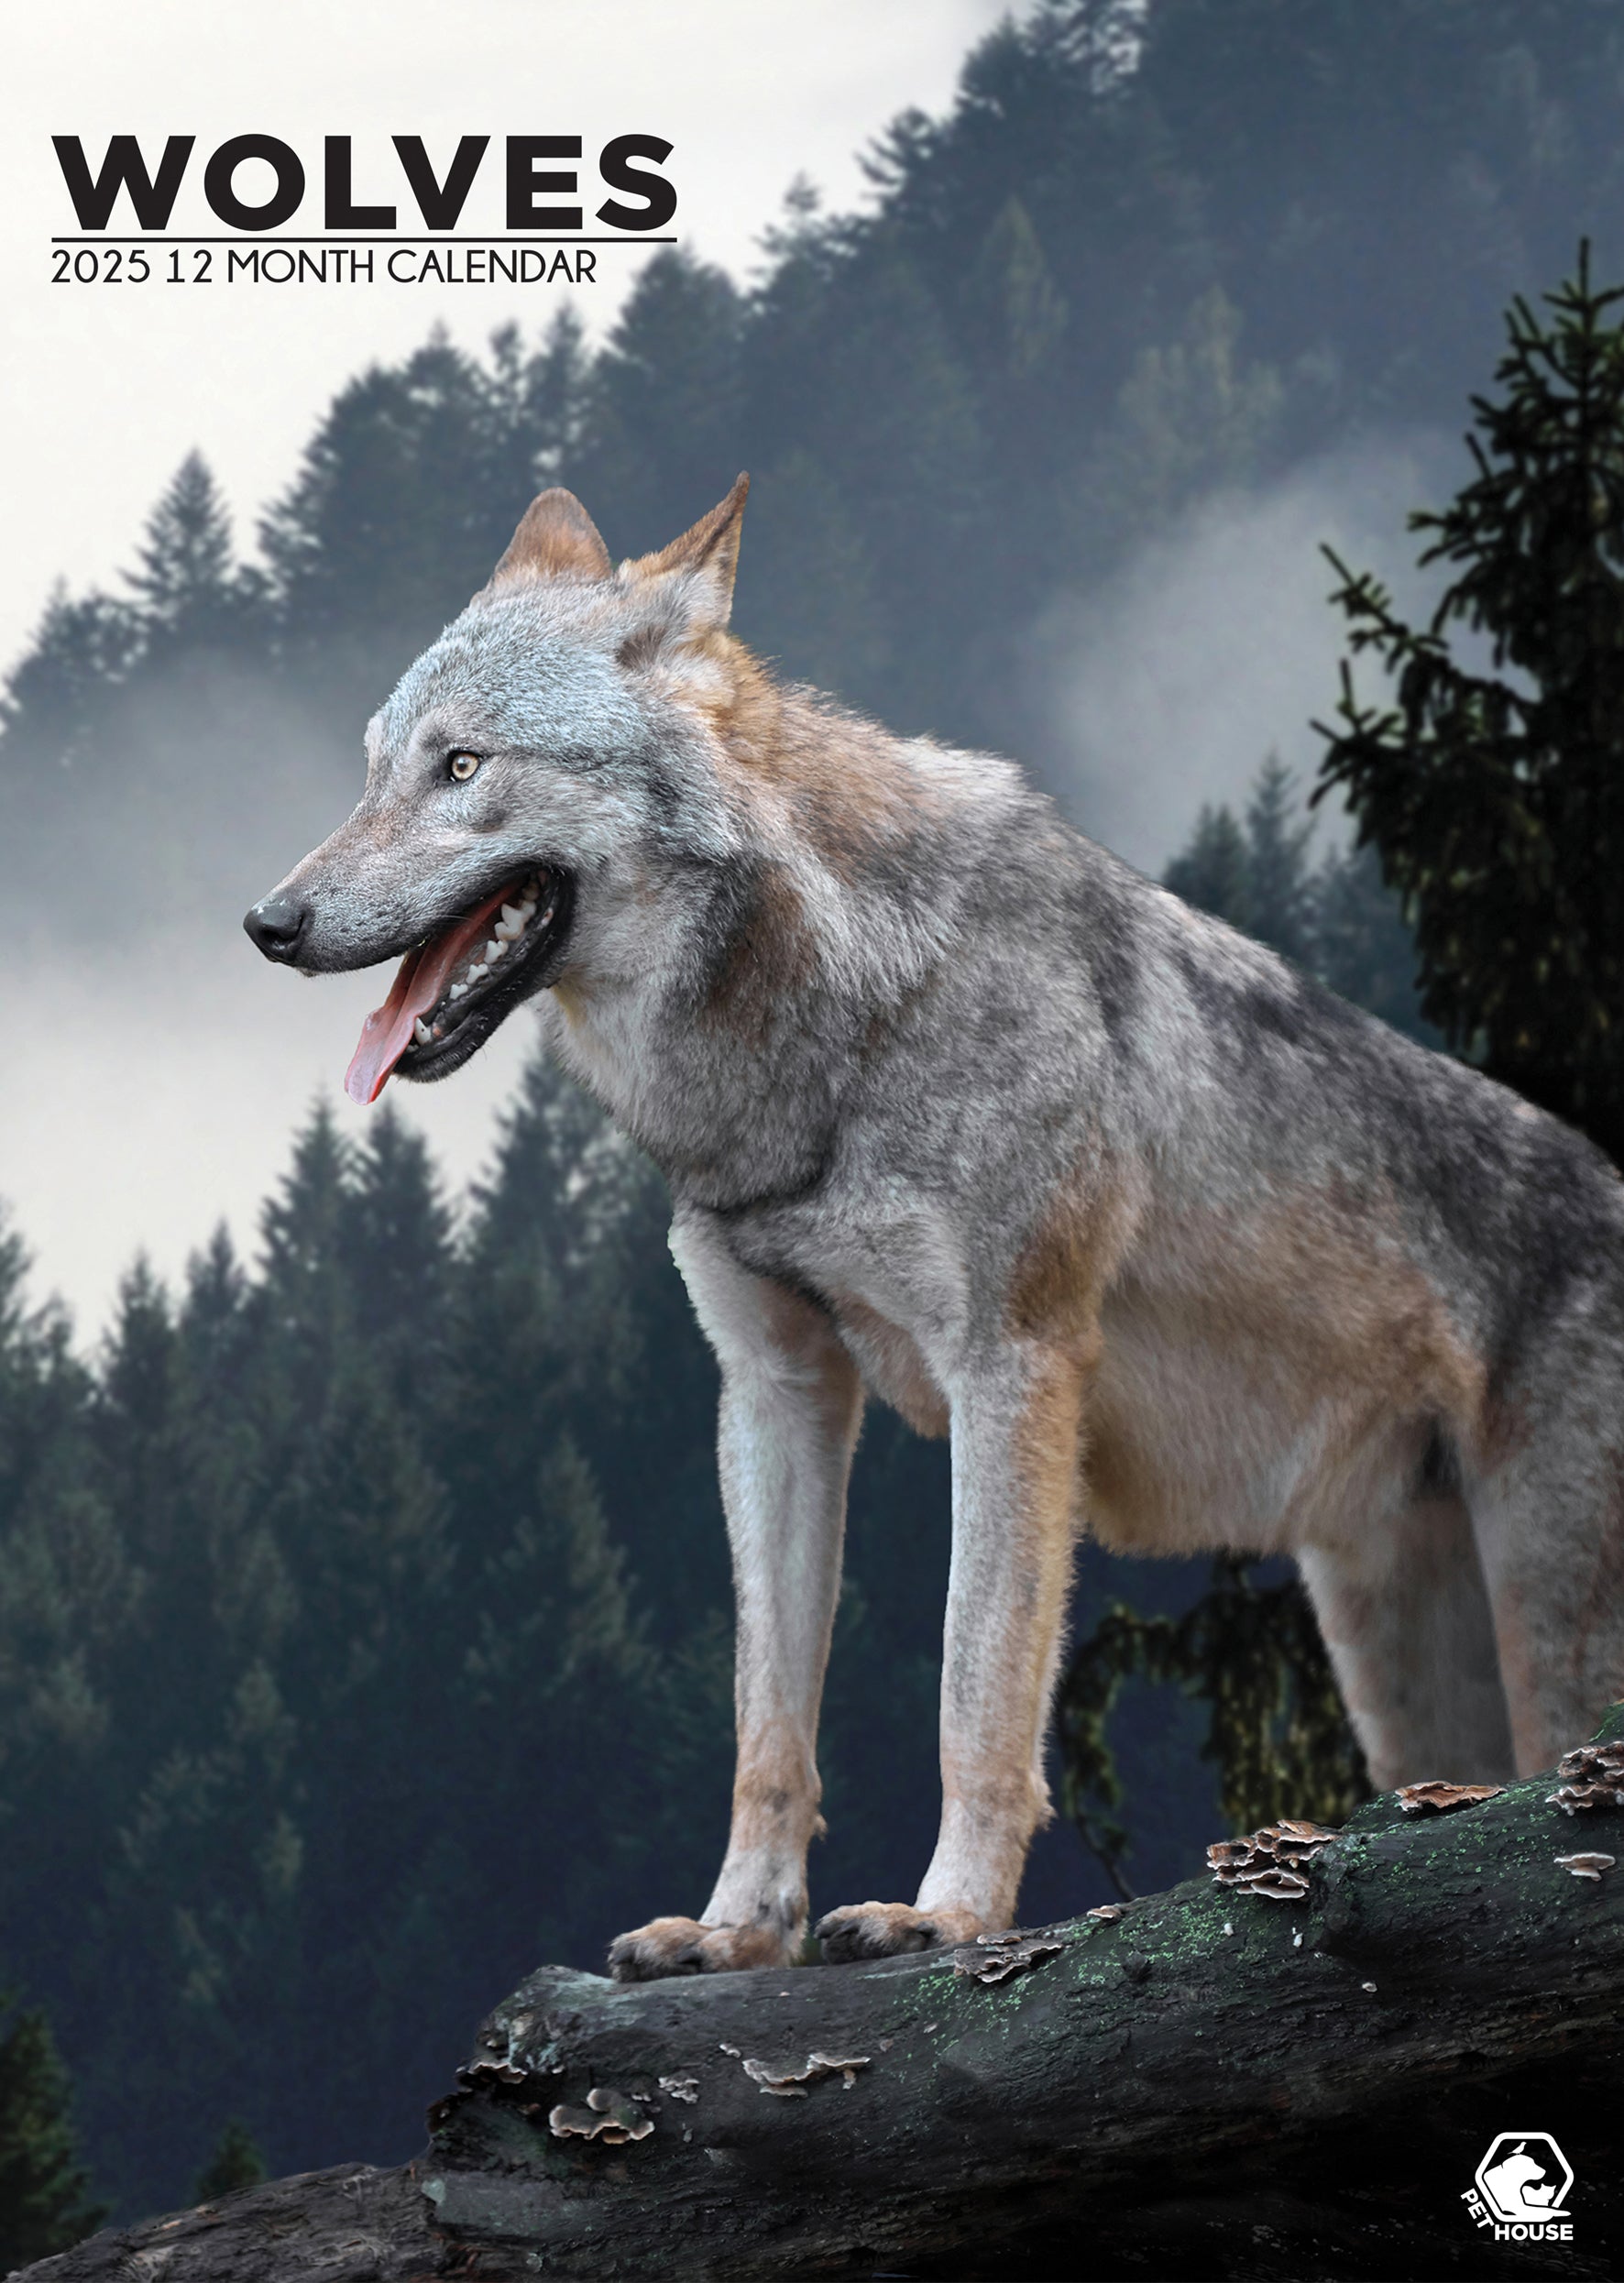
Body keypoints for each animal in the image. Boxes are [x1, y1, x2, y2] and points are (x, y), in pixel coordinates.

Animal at [246, 477, 1624, 1978]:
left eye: (461, 765)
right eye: (374, 769)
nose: (268, 920)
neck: (830, 1027)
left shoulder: (1011, 1369)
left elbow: (977, 1685)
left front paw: (947, 1913)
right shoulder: (773, 1389)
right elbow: (768, 1721)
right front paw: (735, 1930)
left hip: (1545, 1637)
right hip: (1402, 1676)